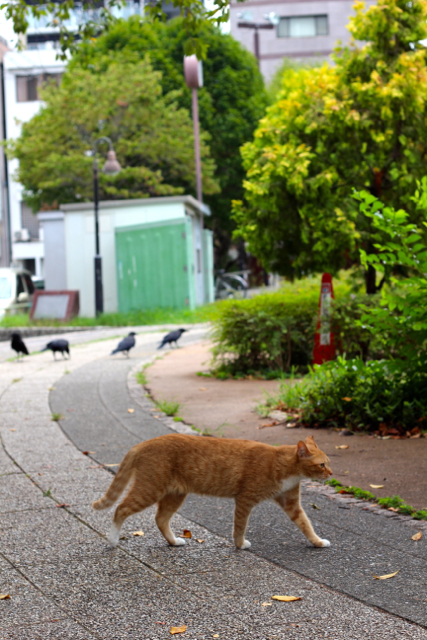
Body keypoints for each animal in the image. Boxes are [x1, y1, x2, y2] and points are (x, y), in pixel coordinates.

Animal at [93, 433, 333, 549]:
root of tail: (143, 443)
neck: (284, 465)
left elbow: (305, 524)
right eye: (321, 465)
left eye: (328, 463)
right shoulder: (245, 500)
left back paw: (174, 541)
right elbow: (240, 526)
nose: (331, 473)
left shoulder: (291, 503)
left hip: (175, 494)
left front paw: (317, 542)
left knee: (160, 519)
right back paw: (112, 540)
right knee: (121, 509)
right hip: (149, 490)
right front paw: (240, 545)